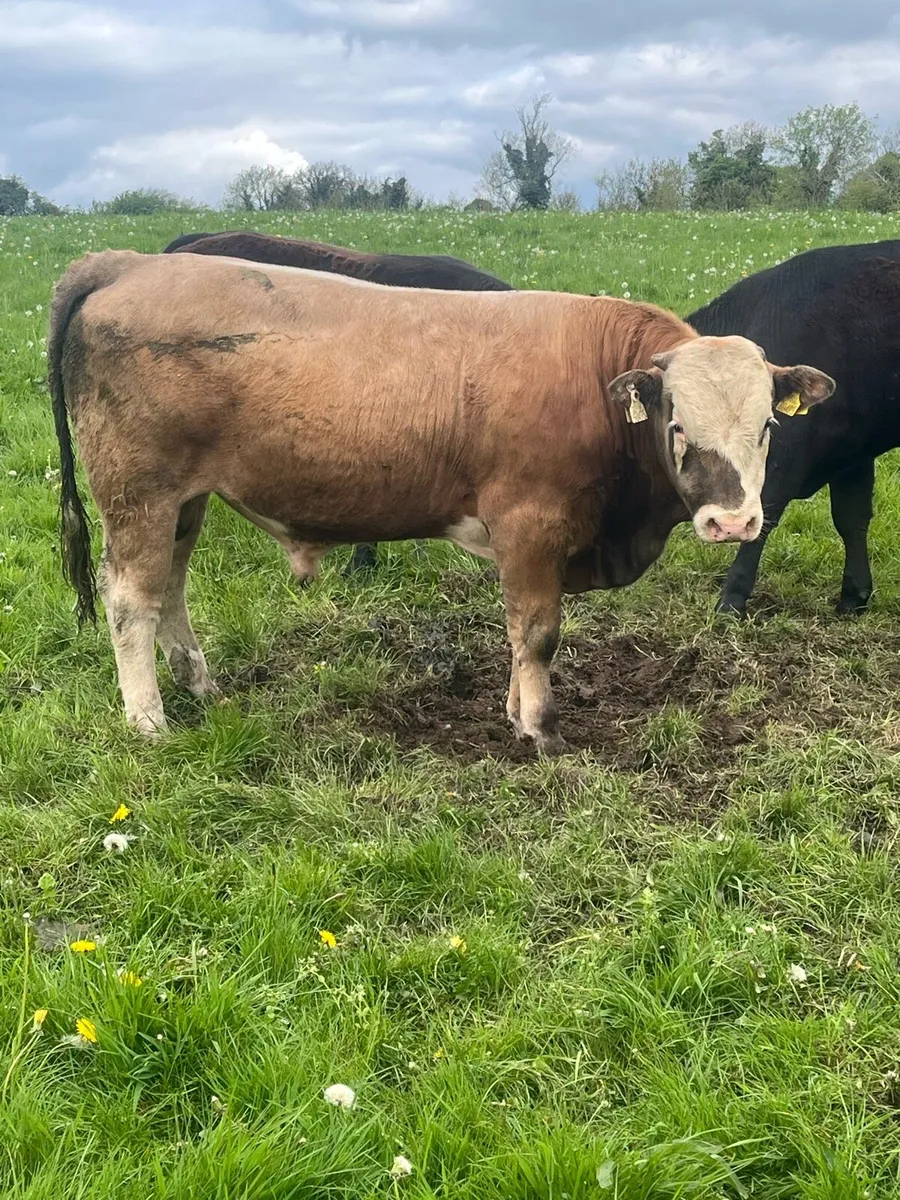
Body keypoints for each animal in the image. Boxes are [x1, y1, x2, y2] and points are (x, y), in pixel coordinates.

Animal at [49, 250, 834, 751]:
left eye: (767, 426)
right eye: (677, 425)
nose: (734, 521)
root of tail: (129, 262)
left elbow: (520, 633)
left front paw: (516, 711)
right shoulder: (529, 526)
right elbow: (537, 632)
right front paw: (540, 729)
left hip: (184, 501)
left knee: (170, 590)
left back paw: (201, 686)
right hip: (138, 493)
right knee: (130, 600)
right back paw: (148, 722)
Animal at [687, 241, 900, 616]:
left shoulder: (783, 452)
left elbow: (764, 513)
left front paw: (732, 599)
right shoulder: (854, 450)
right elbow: (852, 517)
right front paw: (854, 596)